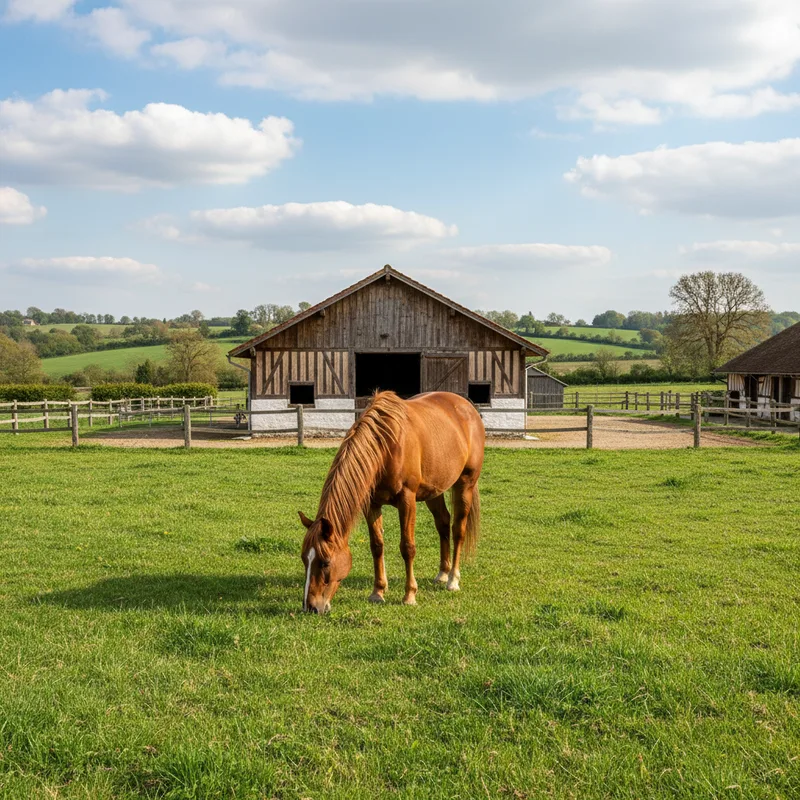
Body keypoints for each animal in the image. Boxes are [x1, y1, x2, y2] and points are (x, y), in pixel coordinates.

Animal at [299, 390, 484, 614]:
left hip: (465, 484)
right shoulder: (372, 504)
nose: (310, 607)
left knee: (458, 529)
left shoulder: (407, 500)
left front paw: (409, 595)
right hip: (434, 490)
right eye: (304, 559)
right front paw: (378, 592)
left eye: (325, 562)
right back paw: (442, 573)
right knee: (443, 522)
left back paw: (452, 580)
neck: (386, 446)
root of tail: (467, 407)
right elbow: (377, 545)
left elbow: (407, 547)